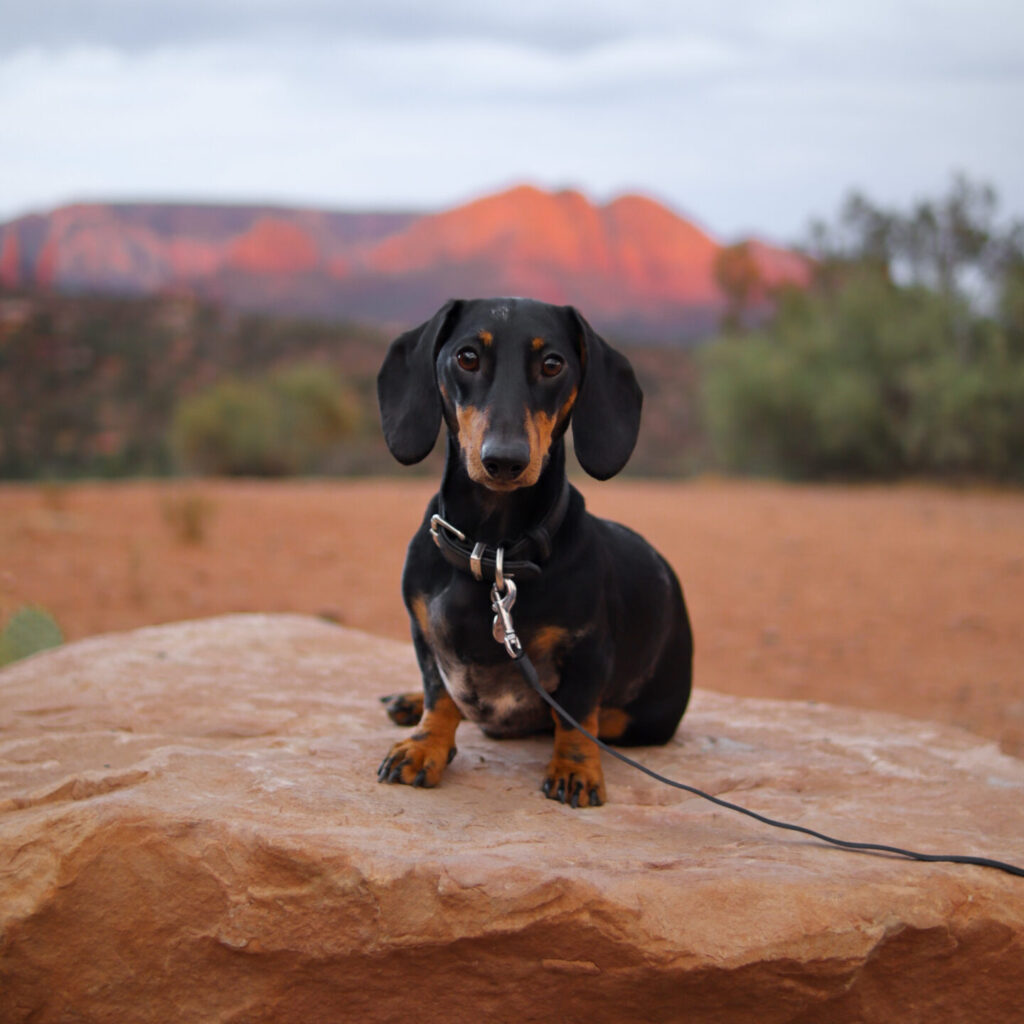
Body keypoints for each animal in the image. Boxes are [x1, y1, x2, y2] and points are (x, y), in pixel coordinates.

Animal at [372, 296, 692, 806]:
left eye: (552, 364)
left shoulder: (588, 651)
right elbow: (439, 693)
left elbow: (577, 715)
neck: (494, 552)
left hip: (644, 719)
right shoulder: (424, 631)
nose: (504, 460)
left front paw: (575, 769)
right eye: (466, 357)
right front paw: (424, 746)